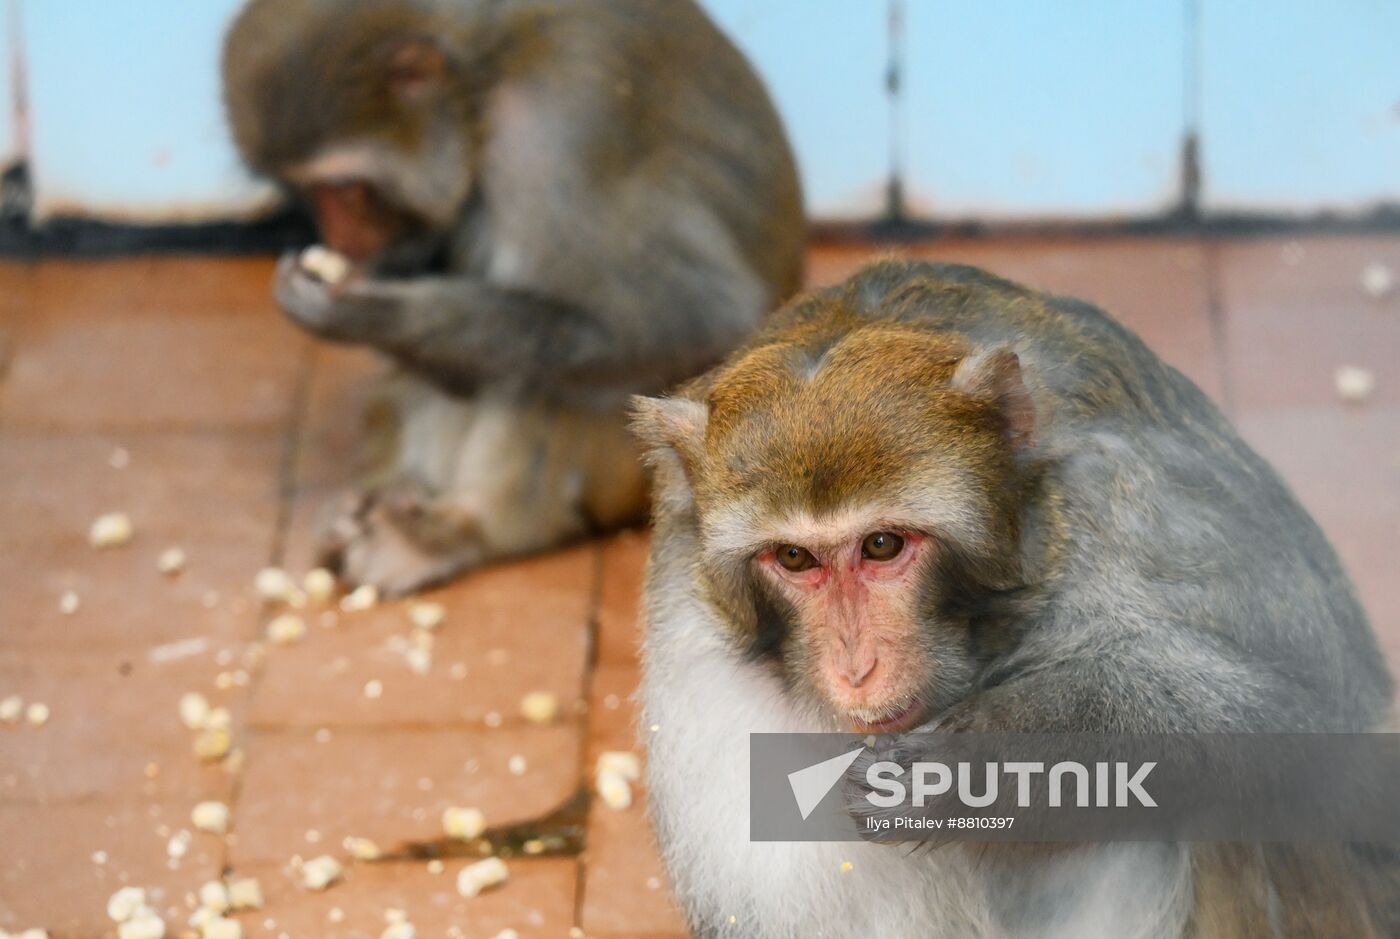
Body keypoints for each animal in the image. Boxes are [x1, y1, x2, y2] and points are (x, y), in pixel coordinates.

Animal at [222, 0, 806, 596]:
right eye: (305, 190)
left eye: (345, 188)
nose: (341, 240)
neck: (483, 76)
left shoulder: (559, 129)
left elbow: (697, 318)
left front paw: (363, 313)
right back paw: (393, 490)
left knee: (542, 373)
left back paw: (458, 531)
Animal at [635, 258, 1400, 939]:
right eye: (794, 558)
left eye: (882, 545)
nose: (856, 666)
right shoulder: (691, 647)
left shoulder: (1131, 501)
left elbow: (1308, 715)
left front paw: (965, 765)